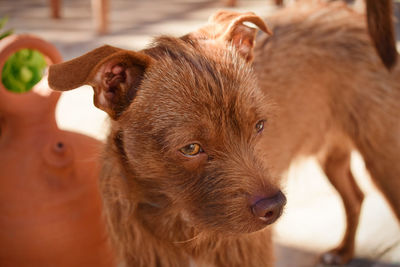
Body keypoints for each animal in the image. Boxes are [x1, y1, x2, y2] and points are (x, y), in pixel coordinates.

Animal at [48, 1, 398, 266]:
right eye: (190, 148)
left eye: (259, 126)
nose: (275, 207)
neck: (177, 223)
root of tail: (343, 11)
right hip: (334, 154)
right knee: (355, 196)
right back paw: (344, 251)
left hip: (384, 158)